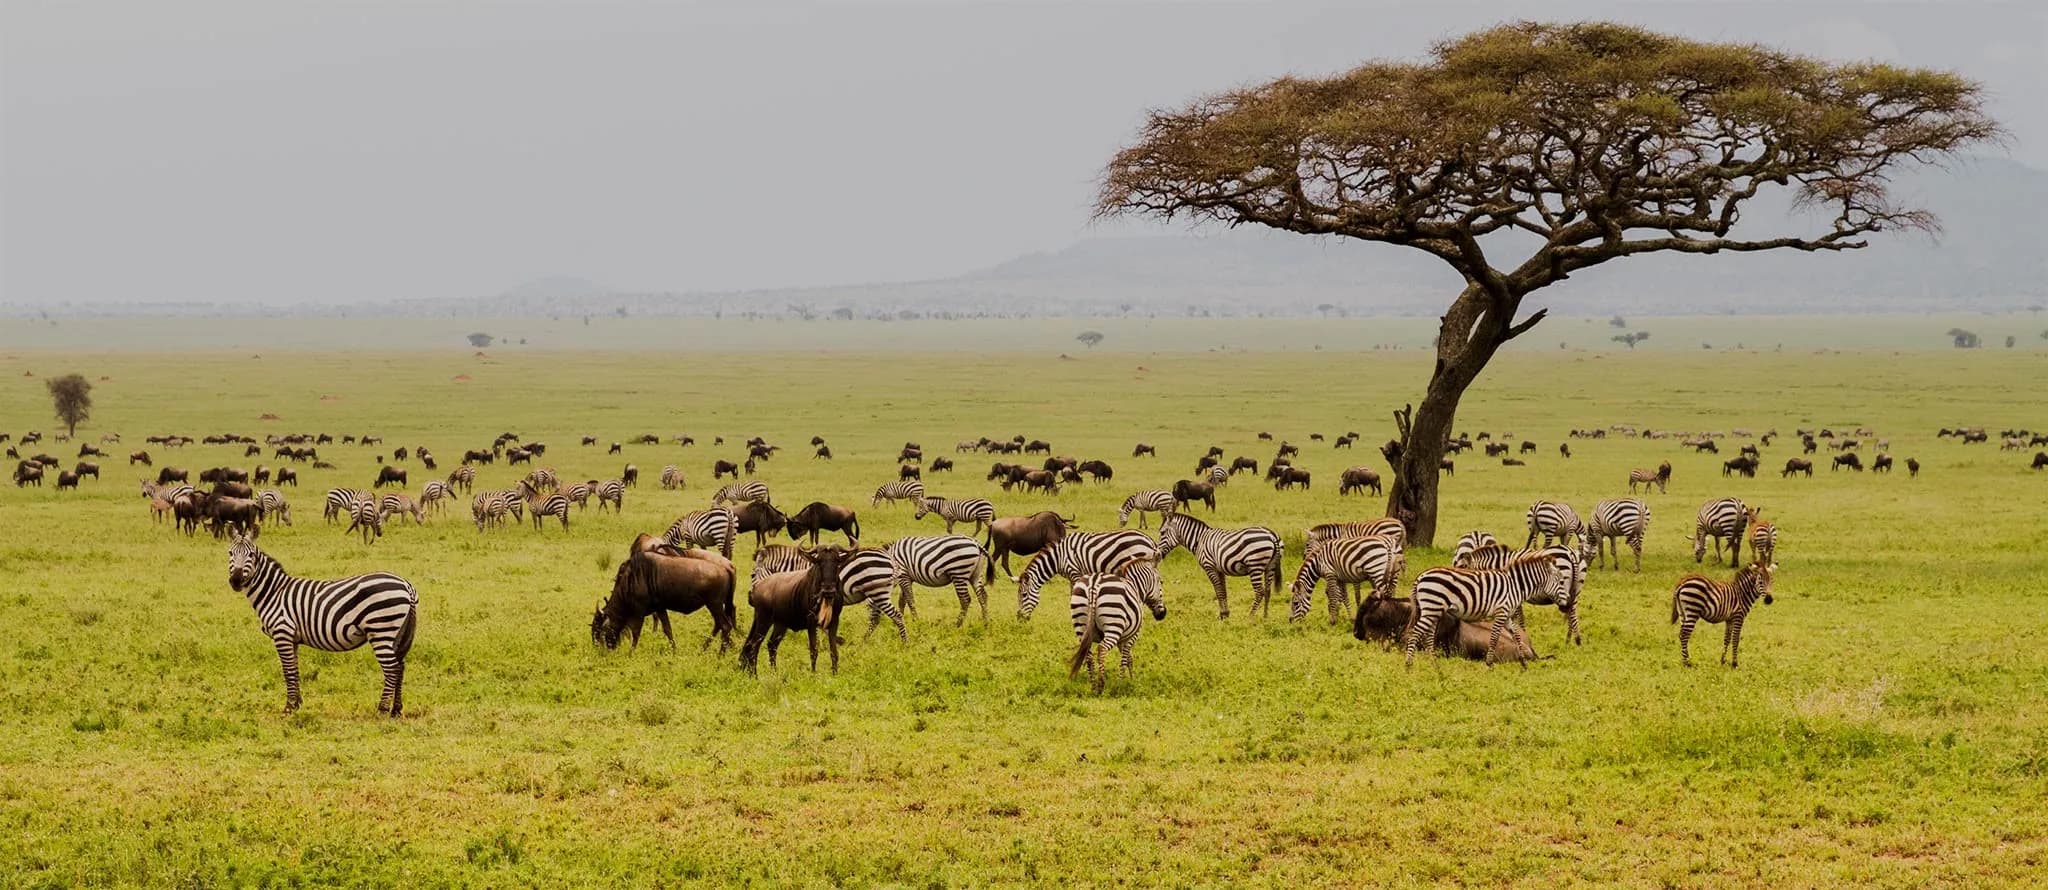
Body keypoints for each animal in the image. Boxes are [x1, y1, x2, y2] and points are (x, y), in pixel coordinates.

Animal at [226, 533, 418, 715]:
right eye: (230, 553)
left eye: (251, 554)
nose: (235, 580)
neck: (274, 592)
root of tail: (406, 584)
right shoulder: (292, 639)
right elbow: (295, 670)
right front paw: (297, 705)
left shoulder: (282, 633)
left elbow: (288, 671)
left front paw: (288, 708)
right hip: (397, 633)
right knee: (400, 666)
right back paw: (396, 710)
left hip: (381, 630)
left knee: (391, 669)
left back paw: (382, 710)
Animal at [754, 544, 904, 641]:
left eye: (753, 574)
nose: (752, 597)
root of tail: (889, 557)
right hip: (877, 593)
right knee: (876, 618)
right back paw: (864, 641)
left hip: (878, 592)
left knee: (896, 616)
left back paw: (905, 644)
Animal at [1016, 530, 1161, 620]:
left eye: (1024, 595)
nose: (1020, 619)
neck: (1058, 557)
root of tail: (1150, 541)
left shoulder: (1074, 572)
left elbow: (1074, 593)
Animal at [1405, 551, 1564, 667]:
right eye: (1561, 581)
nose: (1565, 604)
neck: (1515, 585)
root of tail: (1421, 575)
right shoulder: (1501, 612)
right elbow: (1494, 638)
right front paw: (1489, 664)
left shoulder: (1507, 614)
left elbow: (1516, 636)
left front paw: (1523, 662)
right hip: (1431, 607)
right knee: (1416, 632)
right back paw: (1408, 664)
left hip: (1433, 609)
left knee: (1428, 635)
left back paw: (1433, 662)